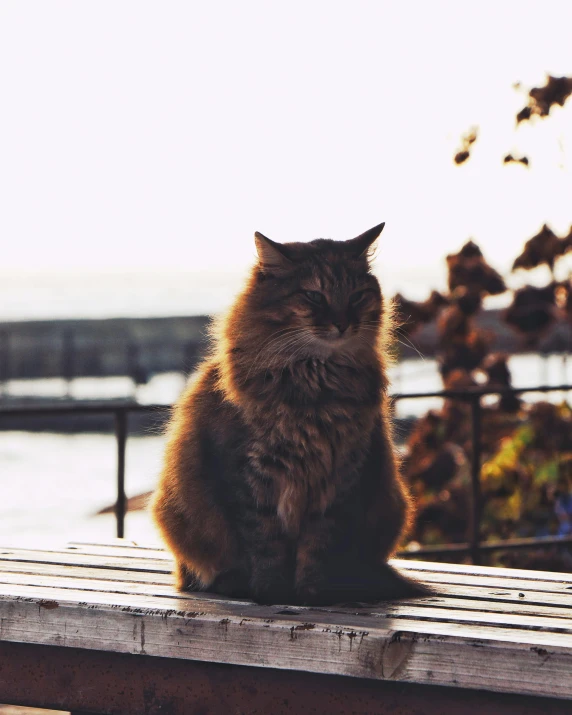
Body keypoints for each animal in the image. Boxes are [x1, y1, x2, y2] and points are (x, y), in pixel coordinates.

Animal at [152, 224, 428, 604]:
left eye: (357, 296)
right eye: (314, 296)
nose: (343, 324)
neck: (316, 387)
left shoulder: (337, 477)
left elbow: (317, 547)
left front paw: (311, 593)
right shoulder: (250, 480)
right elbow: (265, 545)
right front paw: (271, 593)